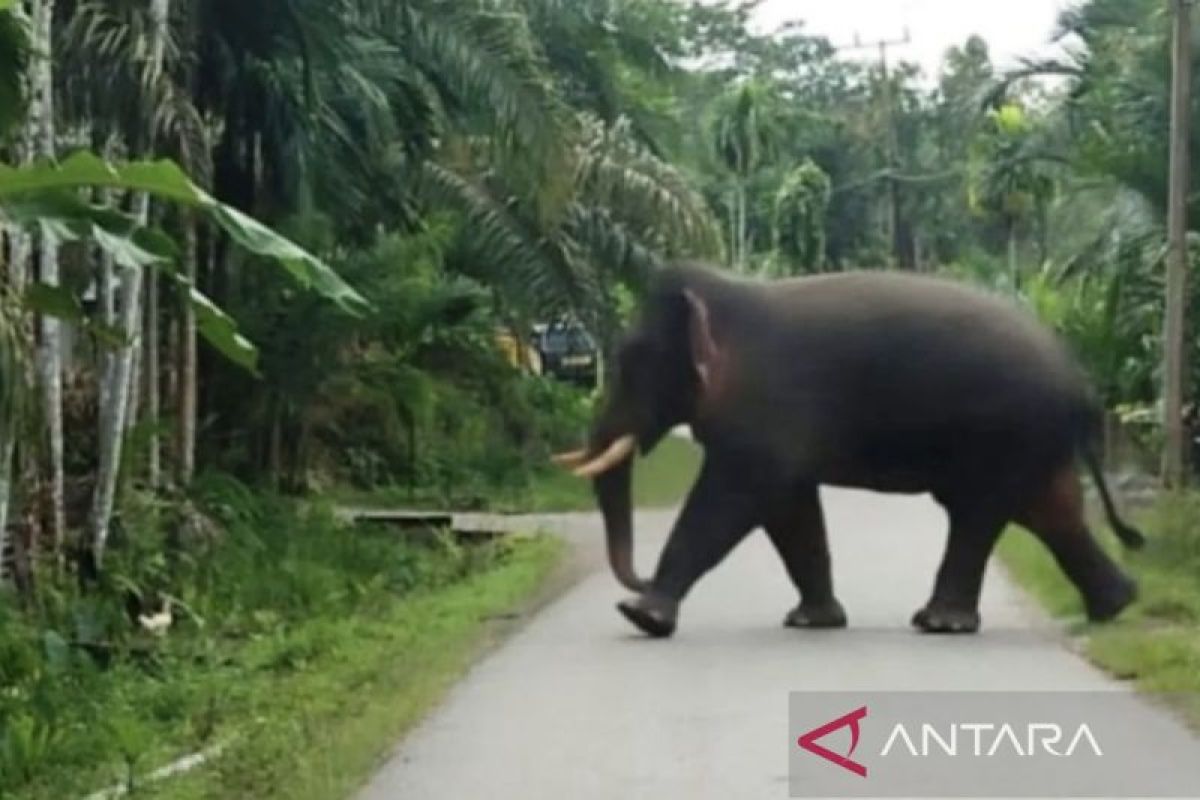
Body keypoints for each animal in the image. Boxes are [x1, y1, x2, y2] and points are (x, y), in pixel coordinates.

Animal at [556, 262, 1147, 638]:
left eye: (632, 361)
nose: (638, 577)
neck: (728, 295)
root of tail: (1083, 387)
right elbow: (790, 511)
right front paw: (811, 622)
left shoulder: (767, 414)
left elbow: (732, 501)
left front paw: (641, 615)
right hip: (1032, 443)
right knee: (1050, 512)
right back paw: (1114, 608)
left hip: (1008, 436)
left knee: (980, 514)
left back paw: (940, 624)